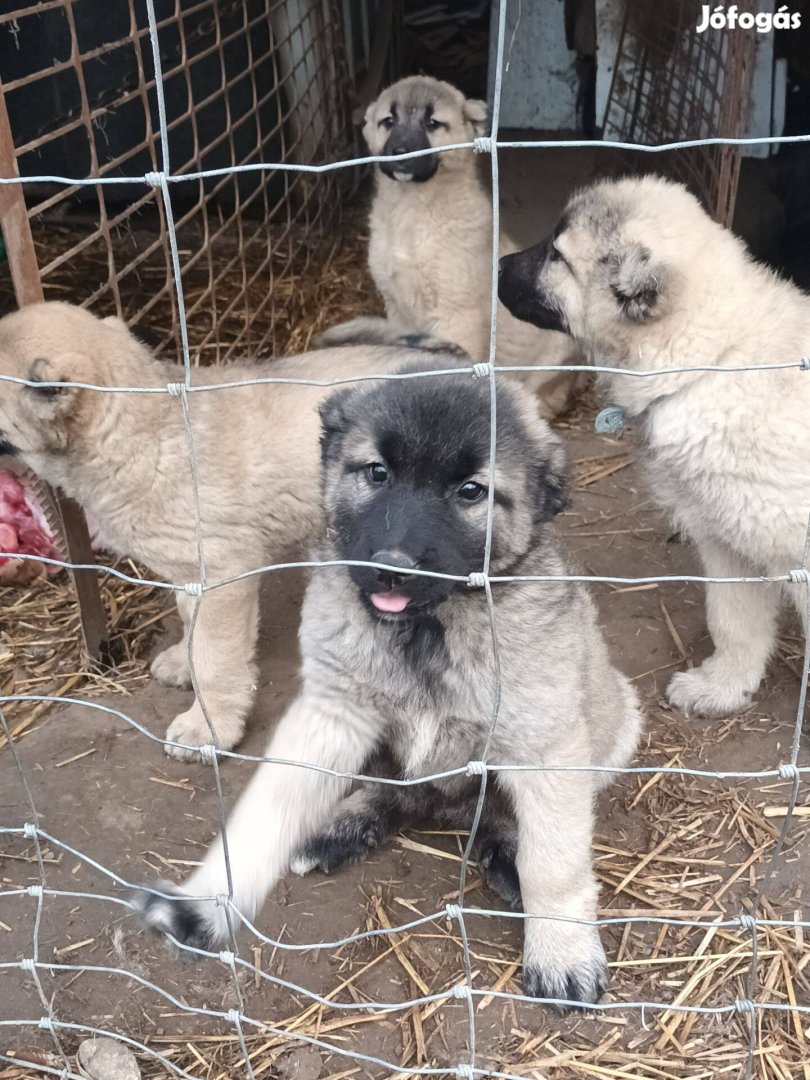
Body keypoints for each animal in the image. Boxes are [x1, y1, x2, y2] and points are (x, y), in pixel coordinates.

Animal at [0, 300, 460, 764]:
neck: (142, 431)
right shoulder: (192, 572)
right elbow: (191, 626)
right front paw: (183, 666)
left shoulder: (224, 577)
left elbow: (215, 658)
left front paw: (208, 728)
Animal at [139, 367, 648, 1006]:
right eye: (377, 473)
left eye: (471, 492)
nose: (391, 566)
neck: (427, 630)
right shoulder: (331, 711)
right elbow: (269, 807)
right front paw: (208, 902)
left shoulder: (543, 742)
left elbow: (554, 860)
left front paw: (561, 948)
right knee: (392, 793)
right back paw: (340, 824)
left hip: (616, 724)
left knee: (503, 815)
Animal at [326, 76, 591, 419]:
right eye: (389, 121)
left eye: (432, 123)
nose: (399, 152)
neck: (411, 214)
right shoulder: (396, 307)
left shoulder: (457, 313)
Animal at [498, 174, 810, 717]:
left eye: (556, 254)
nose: (496, 267)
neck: (711, 359)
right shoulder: (727, 538)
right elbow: (733, 620)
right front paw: (724, 687)